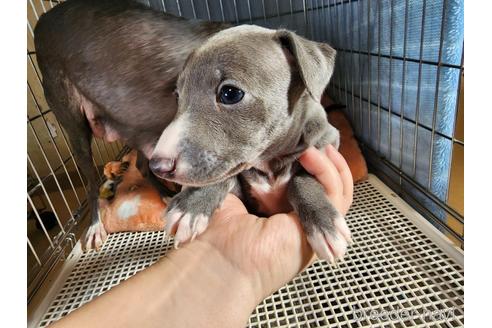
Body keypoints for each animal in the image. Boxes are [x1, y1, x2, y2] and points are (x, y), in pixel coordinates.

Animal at [152, 24, 352, 262]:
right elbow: (222, 176)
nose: (157, 166)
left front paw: (323, 222)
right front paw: (191, 205)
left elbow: (302, 177)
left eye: (230, 93)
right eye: (177, 96)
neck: (268, 163)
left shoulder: (327, 143)